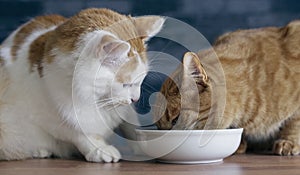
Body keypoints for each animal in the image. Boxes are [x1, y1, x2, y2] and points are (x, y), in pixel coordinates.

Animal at [0, 7, 164, 161]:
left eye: (141, 81)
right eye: (126, 84)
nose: (136, 99)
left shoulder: (125, 110)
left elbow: (131, 126)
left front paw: (143, 146)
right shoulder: (55, 118)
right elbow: (81, 134)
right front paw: (99, 149)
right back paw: (40, 151)